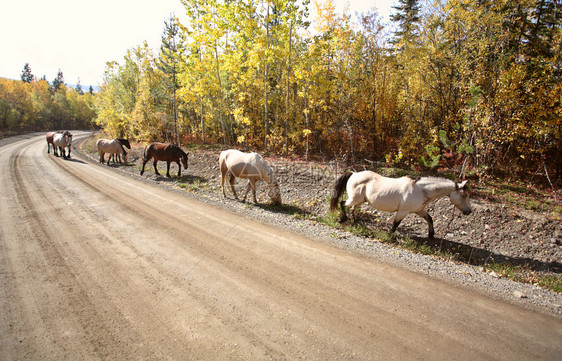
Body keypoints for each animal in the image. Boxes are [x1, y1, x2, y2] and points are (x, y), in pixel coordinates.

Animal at [330, 170, 470, 238]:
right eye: (465, 195)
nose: (469, 211)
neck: (420, 190)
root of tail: (354, 174)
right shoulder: (403, 211)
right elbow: (395, 224)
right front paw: (389, 235)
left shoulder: (420, 210)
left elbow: (429, 219)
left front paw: (431, 235)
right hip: (354, 199)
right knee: (343, 204)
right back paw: (343, 219)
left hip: (360, 200)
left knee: (353, 209)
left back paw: (355, 223)